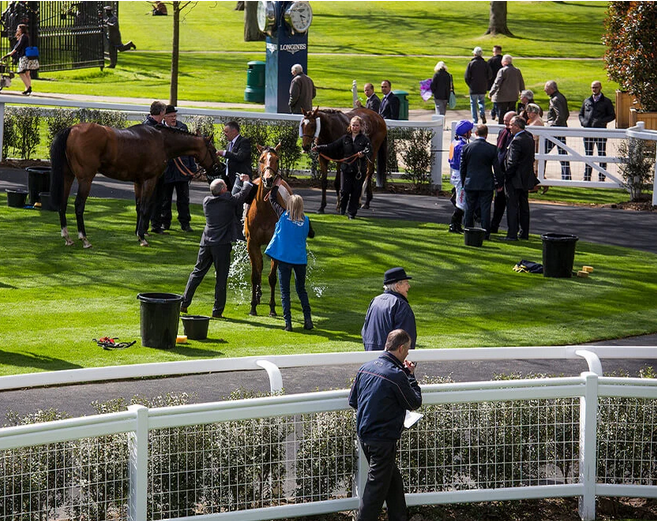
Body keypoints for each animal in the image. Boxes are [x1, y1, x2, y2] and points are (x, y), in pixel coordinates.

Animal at [50, 122, 220, 248]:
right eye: (213, 150)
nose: (219, 167)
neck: (162, 141)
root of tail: (72, 129)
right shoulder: (150, 180)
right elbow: (145, 207)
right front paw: (142, 238)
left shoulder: (138, 182)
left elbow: (138, 207)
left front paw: (138, 233)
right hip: (86, 179)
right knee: (79, 205)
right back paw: (84, 239)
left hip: (68, 176)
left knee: (62, 203)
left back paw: (67, 237)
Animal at [243, 142, 292, 314]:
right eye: (261, 159)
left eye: (277, 159)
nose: (269, 179)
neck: (264, 209)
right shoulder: (252, 243)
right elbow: (255, 275)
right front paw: (252, 306)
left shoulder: (275, 243)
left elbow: (272, 277)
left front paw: (272, 308)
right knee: (258, 267)